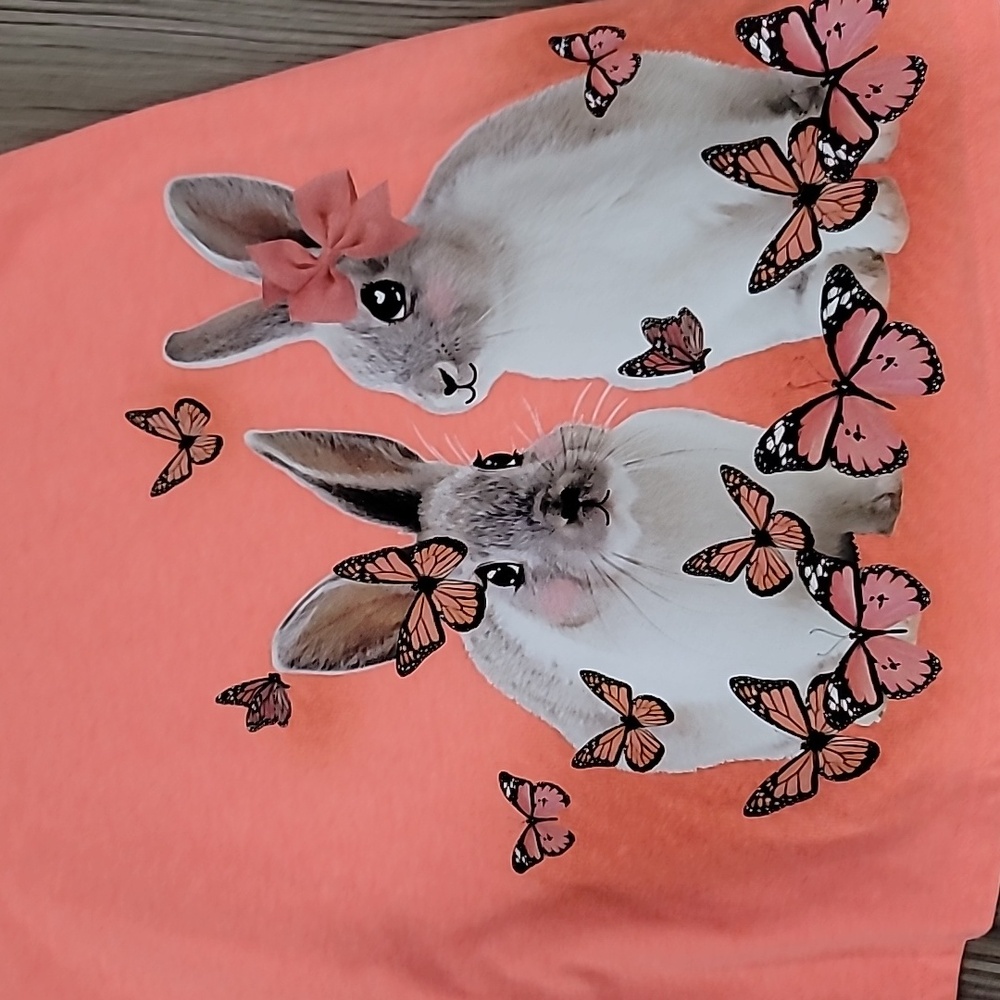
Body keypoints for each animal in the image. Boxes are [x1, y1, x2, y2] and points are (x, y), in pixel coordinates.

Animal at [163, 51, 907, 413]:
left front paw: (881, 213)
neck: (509, 293)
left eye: (386, 298)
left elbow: (778, 191)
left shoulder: (666, 178)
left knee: (791, 116)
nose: (445, 390)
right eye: (373, 384)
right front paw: (883, 241)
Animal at [245, 407, 906, 773]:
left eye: (497, 458)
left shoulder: (815, 492)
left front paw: (892, 498)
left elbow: (855, 502)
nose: (562, 498)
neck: (643, 545)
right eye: (499, 577)